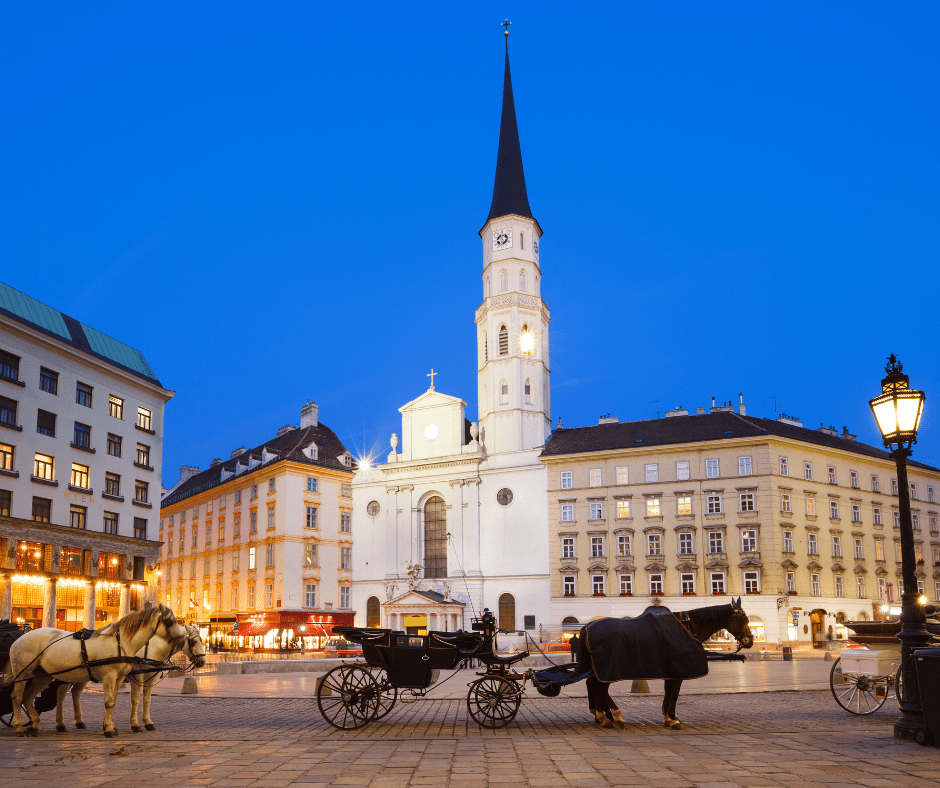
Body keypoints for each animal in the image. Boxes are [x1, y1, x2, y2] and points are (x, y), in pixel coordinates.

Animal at [3, 604, 187, 740]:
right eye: (170, 621)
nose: (183, 639)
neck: (121, 643)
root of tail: (20, 638)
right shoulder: (110, 676)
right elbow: (110, 702)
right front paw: (110, 729)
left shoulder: (120, 678)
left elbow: (115, 701)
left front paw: (110, 726)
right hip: (23, 674)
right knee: (17, 697)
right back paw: (20, 727)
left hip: (43, 676)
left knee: (29, 698)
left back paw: (35, 725)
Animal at [54, 620, 207, 732]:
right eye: (194, 642)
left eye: (202, 640)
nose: (202, 662)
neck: (151, 649)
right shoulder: (137, 678)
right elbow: (135, 700)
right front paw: (135, 724)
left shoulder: (150, 677)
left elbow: (146, 700)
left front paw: (148, 722)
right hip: (66, 676)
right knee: (61, 695)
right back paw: (60, 724)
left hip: (82, 676)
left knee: (75, 693)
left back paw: (79, 722)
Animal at [584, 600, 752, 728]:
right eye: (743, 619)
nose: (750, 640)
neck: (688, 626)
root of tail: (587, 626)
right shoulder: (679, 671)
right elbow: (675, 693)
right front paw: (673, 718)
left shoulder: (671, 670)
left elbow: (668, 692)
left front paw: (667, 716)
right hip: (608, 669)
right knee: (600, 687)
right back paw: (611, 716)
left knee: (594, 685)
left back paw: (603, 715)